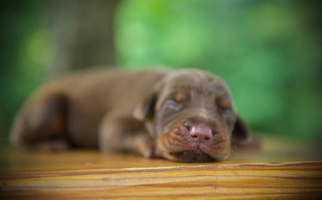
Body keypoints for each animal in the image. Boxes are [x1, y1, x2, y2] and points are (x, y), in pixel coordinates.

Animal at [10, 69, 252, 162]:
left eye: (226, 111)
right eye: (172, 102)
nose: (201, 133)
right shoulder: (114, 124)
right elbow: (127, 132)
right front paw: (151, 143)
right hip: (49, 106)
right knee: (23, 139)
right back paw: (49, 144)